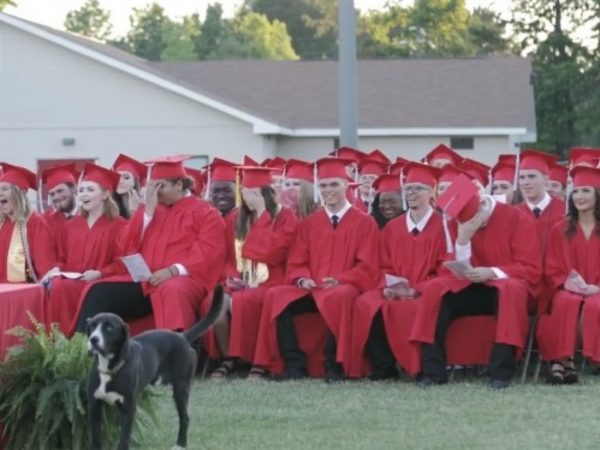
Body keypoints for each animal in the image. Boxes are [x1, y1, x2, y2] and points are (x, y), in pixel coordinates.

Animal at [85, 284, 224, 450]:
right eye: (92, 326)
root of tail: (182, 337)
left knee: (185, 418)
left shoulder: (128, 409)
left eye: (109, 328)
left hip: (181, 388)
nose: (93, 339)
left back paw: (180, 444)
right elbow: (95, 439)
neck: (109, 369)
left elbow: (123, 441)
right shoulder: (94, 407)